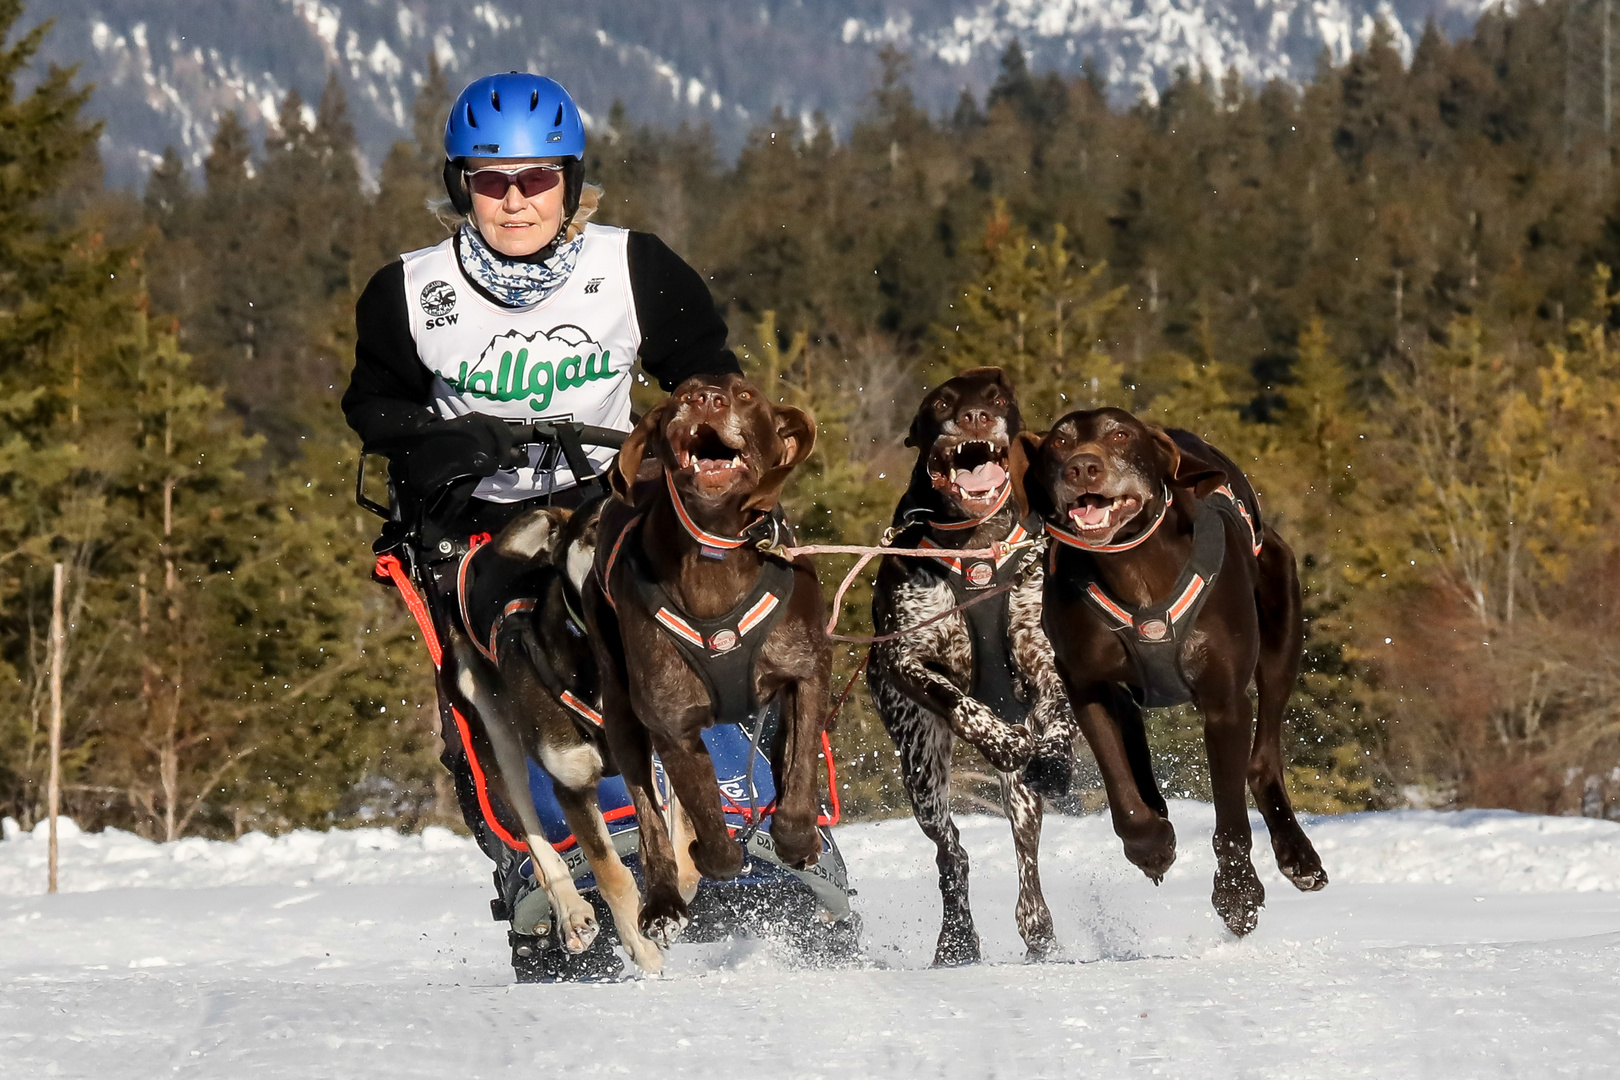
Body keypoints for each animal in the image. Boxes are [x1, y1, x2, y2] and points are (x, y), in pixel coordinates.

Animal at [583, 375, 829, 952]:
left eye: (744, 396)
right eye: (681, 396)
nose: (704, 401)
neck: (715, 561)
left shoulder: (806, 675)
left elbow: (799, 775)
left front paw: (797, 839)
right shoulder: (673, 727)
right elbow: (708, 826)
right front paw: (711, 856)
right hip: (622, 716)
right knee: (649, 820)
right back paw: (663, 902)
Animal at [868, 367, 1082, 965]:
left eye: (996, 397)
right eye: (941, 403)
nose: (974, 418)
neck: (976, 550)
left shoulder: (1041, 655)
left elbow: (1058, 713)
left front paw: (1054, 754)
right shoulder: (904, 660)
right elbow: (962, 706)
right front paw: (1003, 741)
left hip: (1019, 799)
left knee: (1026, 858)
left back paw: (1038, 929)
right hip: (921, 769)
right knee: (952, 854)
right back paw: (957, 939)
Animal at [1010, 408, 1328, 939]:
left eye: (1120, 434)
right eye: (1058, 442)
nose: (1082, 468)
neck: (1134, 566)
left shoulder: (1223, 701)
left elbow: (1231, 818)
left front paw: (1237, 894)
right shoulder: (1087, 686)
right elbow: (1122, 794)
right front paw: (1152, 845)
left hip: (1281, 625)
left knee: (1262, 760)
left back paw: (1298, 857)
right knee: (1135, 748)